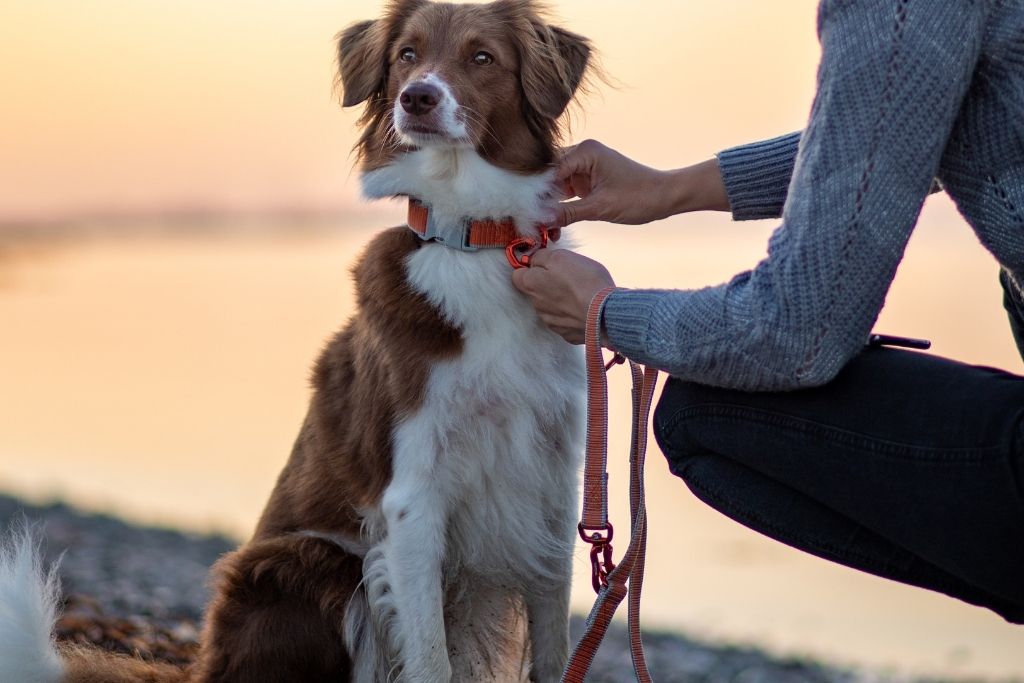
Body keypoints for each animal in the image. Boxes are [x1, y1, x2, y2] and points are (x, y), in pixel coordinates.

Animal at [0, 1, 593, 683]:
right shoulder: (413, 498)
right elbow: (431, 658)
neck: (474, 239)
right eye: (407, 55)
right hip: (306, 562)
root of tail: (206, 666)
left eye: (482, 57)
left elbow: (554, 647)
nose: (416, 98)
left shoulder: (552, 485)